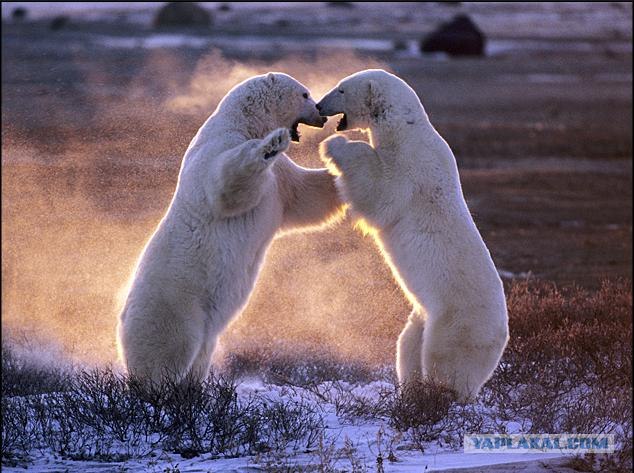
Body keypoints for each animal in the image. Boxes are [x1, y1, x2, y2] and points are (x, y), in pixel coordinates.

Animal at [116, 73, 344, 384]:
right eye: (305, 94)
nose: (322, 115)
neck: (244, 121)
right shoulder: (219, 148)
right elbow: (227, 184)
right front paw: (272, 143)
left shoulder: (281, 179)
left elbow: (308, 195)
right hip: (173, 306)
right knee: (167, 353)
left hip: (202, 329)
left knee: (199, 358)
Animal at [316, 70, 508, 400]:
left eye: (340, 89)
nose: (318, 105)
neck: (406, 130)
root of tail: (502, 335)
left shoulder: (411, 167)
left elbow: (382, 193)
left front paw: (334, 145)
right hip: (423, 313)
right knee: (407, 346)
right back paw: (410, 390)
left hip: (457, 320)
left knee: (443, 360)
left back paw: (439, 394)